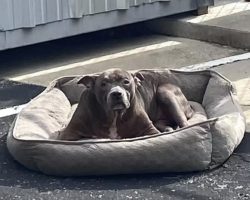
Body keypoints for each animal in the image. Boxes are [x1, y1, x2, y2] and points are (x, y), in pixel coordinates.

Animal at [58, 69, 193, 141]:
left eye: (126, 82)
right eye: (103, 84)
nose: (116, 93)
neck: (114, 116)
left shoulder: (150, 130)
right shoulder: (68, 133)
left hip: (164, 92)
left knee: (185, 124)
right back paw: (168, 128)